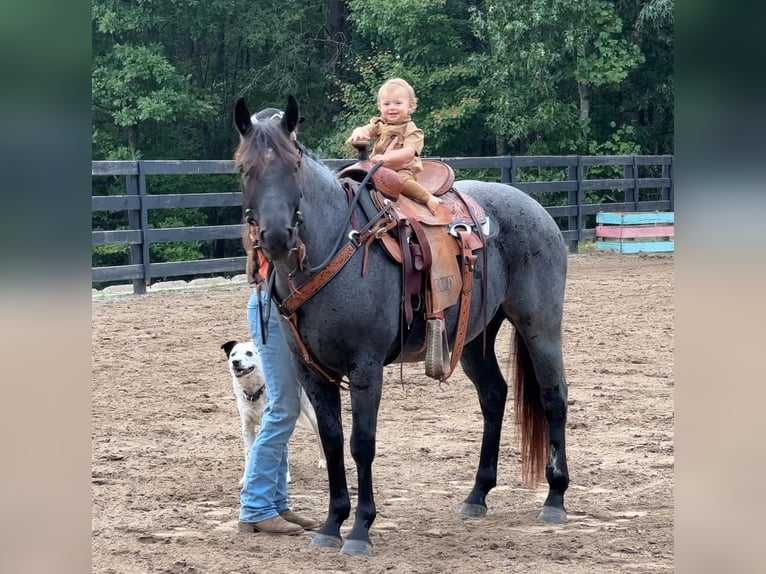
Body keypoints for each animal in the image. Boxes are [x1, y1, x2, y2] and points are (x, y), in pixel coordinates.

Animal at [219, 340, 328, 488]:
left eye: (249, 353)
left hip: (311, 412)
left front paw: (285, 476)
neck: (255, 392)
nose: (235, 362)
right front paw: (246, 477)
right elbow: (249, 453)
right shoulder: (247, 426)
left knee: (318, 435)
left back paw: (323, 461)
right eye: (233, 354)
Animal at [234, 95, 568, 560]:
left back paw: (555, 498)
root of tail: (535, 208)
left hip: (540, 325)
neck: (337, 245)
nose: (277, 237)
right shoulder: (311, 371)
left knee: (554, 397)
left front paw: (360, 530)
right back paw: (477, 495)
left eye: (294, 164)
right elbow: (332, 440)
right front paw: (331, 523)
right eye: (244, 168)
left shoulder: (366, 367)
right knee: (493, 396)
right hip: (473, 337)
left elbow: (362, 443)